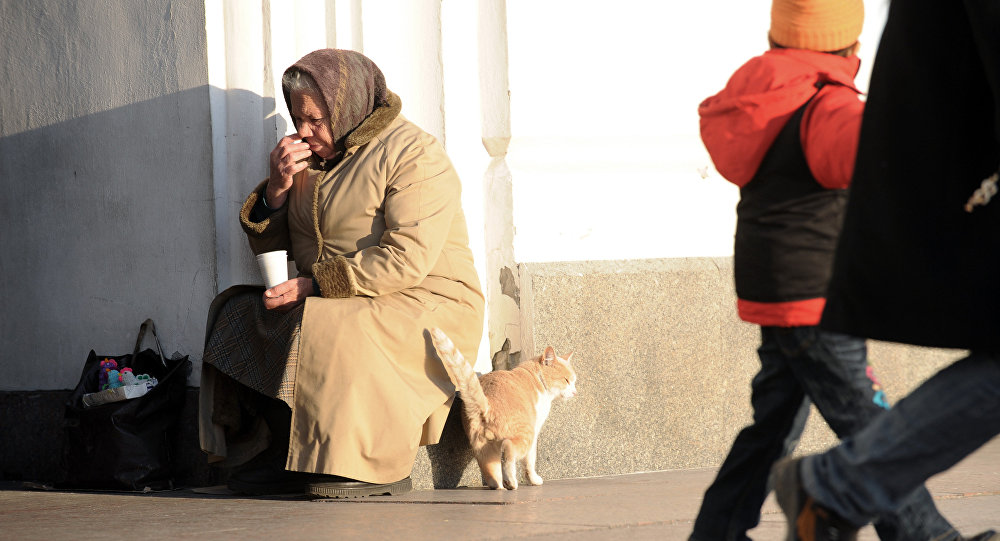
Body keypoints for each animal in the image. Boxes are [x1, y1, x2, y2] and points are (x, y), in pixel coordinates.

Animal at [430, 324, 580, 490]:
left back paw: (500, 486)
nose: (575, 392)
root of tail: (488, 403)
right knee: (508, 449)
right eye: (566, 380)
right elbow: (530, 461)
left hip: (483, 450)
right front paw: (533, 480)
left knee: (492, 475)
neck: (535, 376)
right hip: (524, 435)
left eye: (573, 381)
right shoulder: (535, 432)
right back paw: (510, 482)